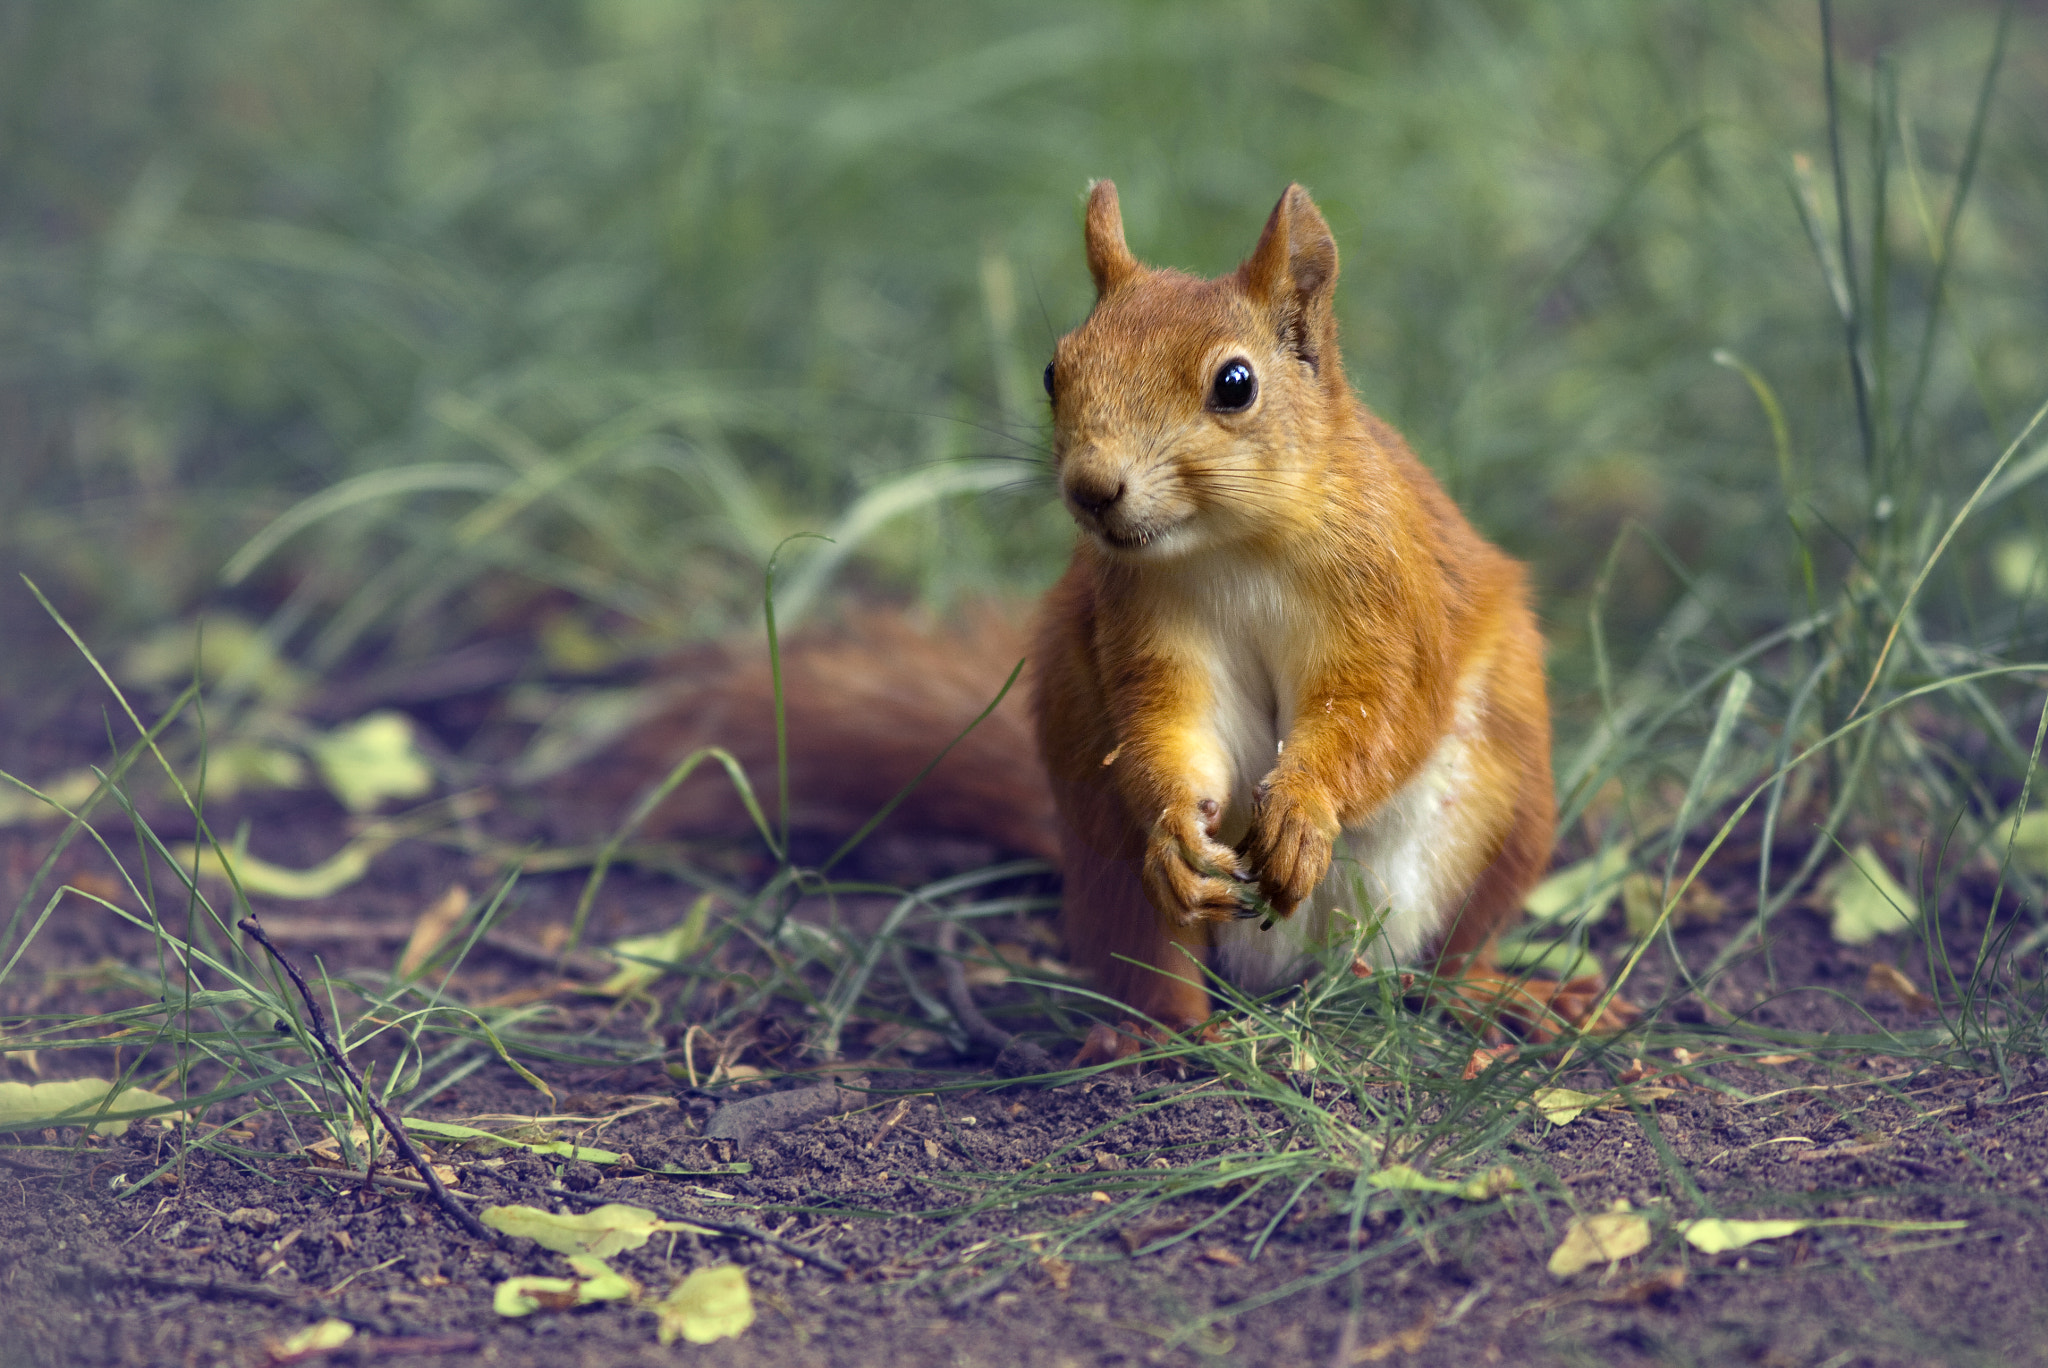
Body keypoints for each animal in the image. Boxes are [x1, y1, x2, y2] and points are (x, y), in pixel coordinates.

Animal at [598, 181, 1630, 1064]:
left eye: (1236, 384)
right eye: (1056, 369)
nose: (1093, 488)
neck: (1236, 546)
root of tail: (1300, 978)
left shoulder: (1390, 595)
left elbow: (1379, 711)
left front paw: (1303, 807)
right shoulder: (1139, 621)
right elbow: (1165, 727)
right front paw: (1177, 825)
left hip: (1507, 819)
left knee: (1447, 960)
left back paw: (1503, 996)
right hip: (1104, 862)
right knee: (1158, 961)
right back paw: (1150, 1037)